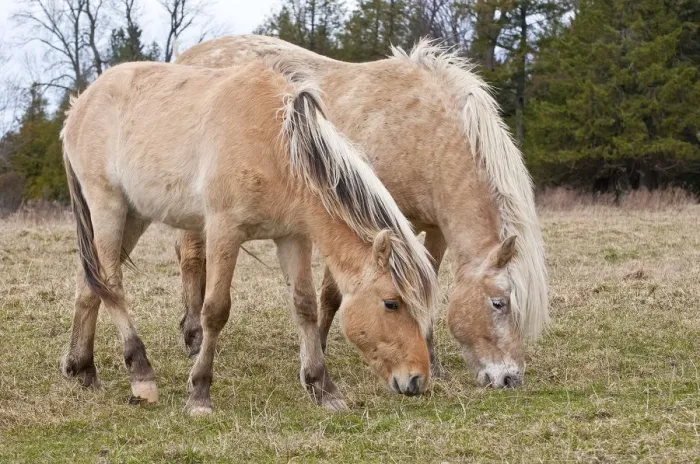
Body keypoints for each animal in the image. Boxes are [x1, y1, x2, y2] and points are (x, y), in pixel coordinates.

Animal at [60, 59, 439, 414]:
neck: (275, 148)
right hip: (108, 207)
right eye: (391, 303)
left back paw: (82, 368)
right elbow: (215, 311)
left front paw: (323, 388)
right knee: (112, 283)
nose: (417, 380)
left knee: (89, 284)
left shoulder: (293, 237)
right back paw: (141, 376)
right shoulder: (224, 231)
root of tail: (79, 106)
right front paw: (200, 394)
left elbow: (305, 306)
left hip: (134, 215)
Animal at [174, 35, 549, 388]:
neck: (420, 132)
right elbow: (330, 295)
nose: (510, 378)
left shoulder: (435, 230)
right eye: (499, 303)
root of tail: (187, 57)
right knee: (192, 256)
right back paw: (194, 336)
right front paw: (319, 350)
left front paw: (432, 359)